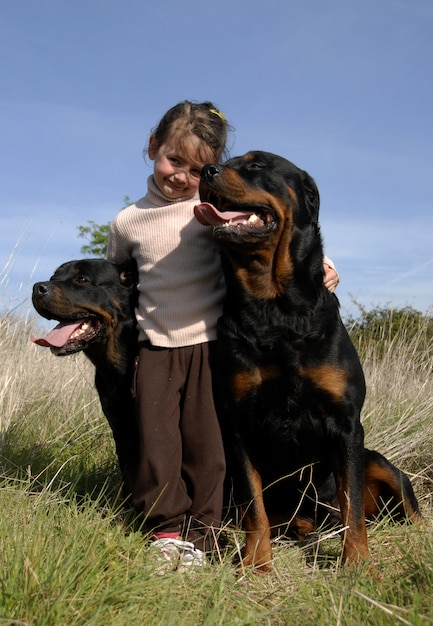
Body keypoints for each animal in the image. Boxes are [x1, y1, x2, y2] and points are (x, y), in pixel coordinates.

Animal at [195, 150, 418, 564]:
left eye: (256, 165)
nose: (206, 171)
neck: (274, 307)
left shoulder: (346, 424)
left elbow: (352, 507)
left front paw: (358, 565)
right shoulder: (238, 426)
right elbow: (254, 508)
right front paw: (256, 564)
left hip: (377, 461)